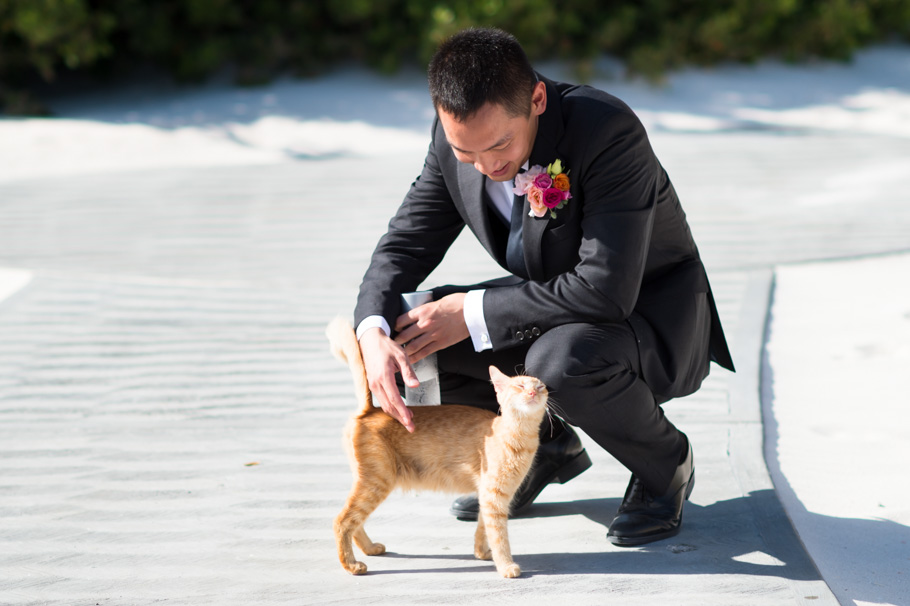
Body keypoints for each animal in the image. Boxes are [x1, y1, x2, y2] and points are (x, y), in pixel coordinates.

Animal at [332, 318, 552, 580]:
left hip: (370, 482)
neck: (519, 437)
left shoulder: (488, 495)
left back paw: (369, 548)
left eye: (541, 387)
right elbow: (499, 536)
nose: (532, 392)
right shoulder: (495, 497)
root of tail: (370, 410)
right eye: (519, 385)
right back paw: (352, 565)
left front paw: (481, 552)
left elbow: (483, 527)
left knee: (355, 520)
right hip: (377, 481)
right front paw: (506, 565)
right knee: (343, 520)